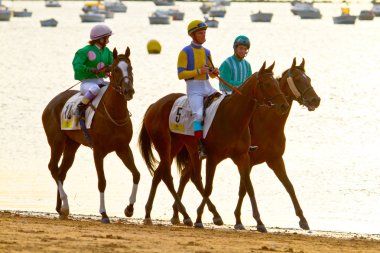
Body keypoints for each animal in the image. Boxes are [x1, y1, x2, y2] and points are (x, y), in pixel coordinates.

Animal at [41, 46, 140, 222]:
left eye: (130, 68)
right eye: (115, 69)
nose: (128, 91)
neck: (113, 113)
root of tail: (50, 104)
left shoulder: (123, 148)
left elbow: (136, 174)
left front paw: (129, 208)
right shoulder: (98, 151)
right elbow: (102, 181)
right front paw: (104, 213)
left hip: (72, 145)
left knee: (61, 172)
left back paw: (61, 208)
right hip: (56, 142)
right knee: (53, 168)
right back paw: (65, 204)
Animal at [138, 61, 290, 227]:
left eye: (277, 83)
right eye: (267, 84)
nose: (284, 105)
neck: (232, 116)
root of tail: (154, 105)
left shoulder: (242, 156)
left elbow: (249, 186)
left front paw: (259, 221)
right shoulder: (212, 158)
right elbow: (209, 187)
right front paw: (200, 218)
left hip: (178, 146)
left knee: (166, 174)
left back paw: (151, 213)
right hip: (164, 144)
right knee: (169, 176)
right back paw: (189, 215)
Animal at [171, 57, 320, 231]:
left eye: (308, 79)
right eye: (297, 79)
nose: (316, 100)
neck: (267, 124)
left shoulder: (274, 159)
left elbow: (288, 186)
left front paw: (302, 219)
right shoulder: (247, 159)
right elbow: (244, 189)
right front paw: (240, 220)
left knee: (185, 176)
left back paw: (178, 214)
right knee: (187, 176)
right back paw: (182, 214)